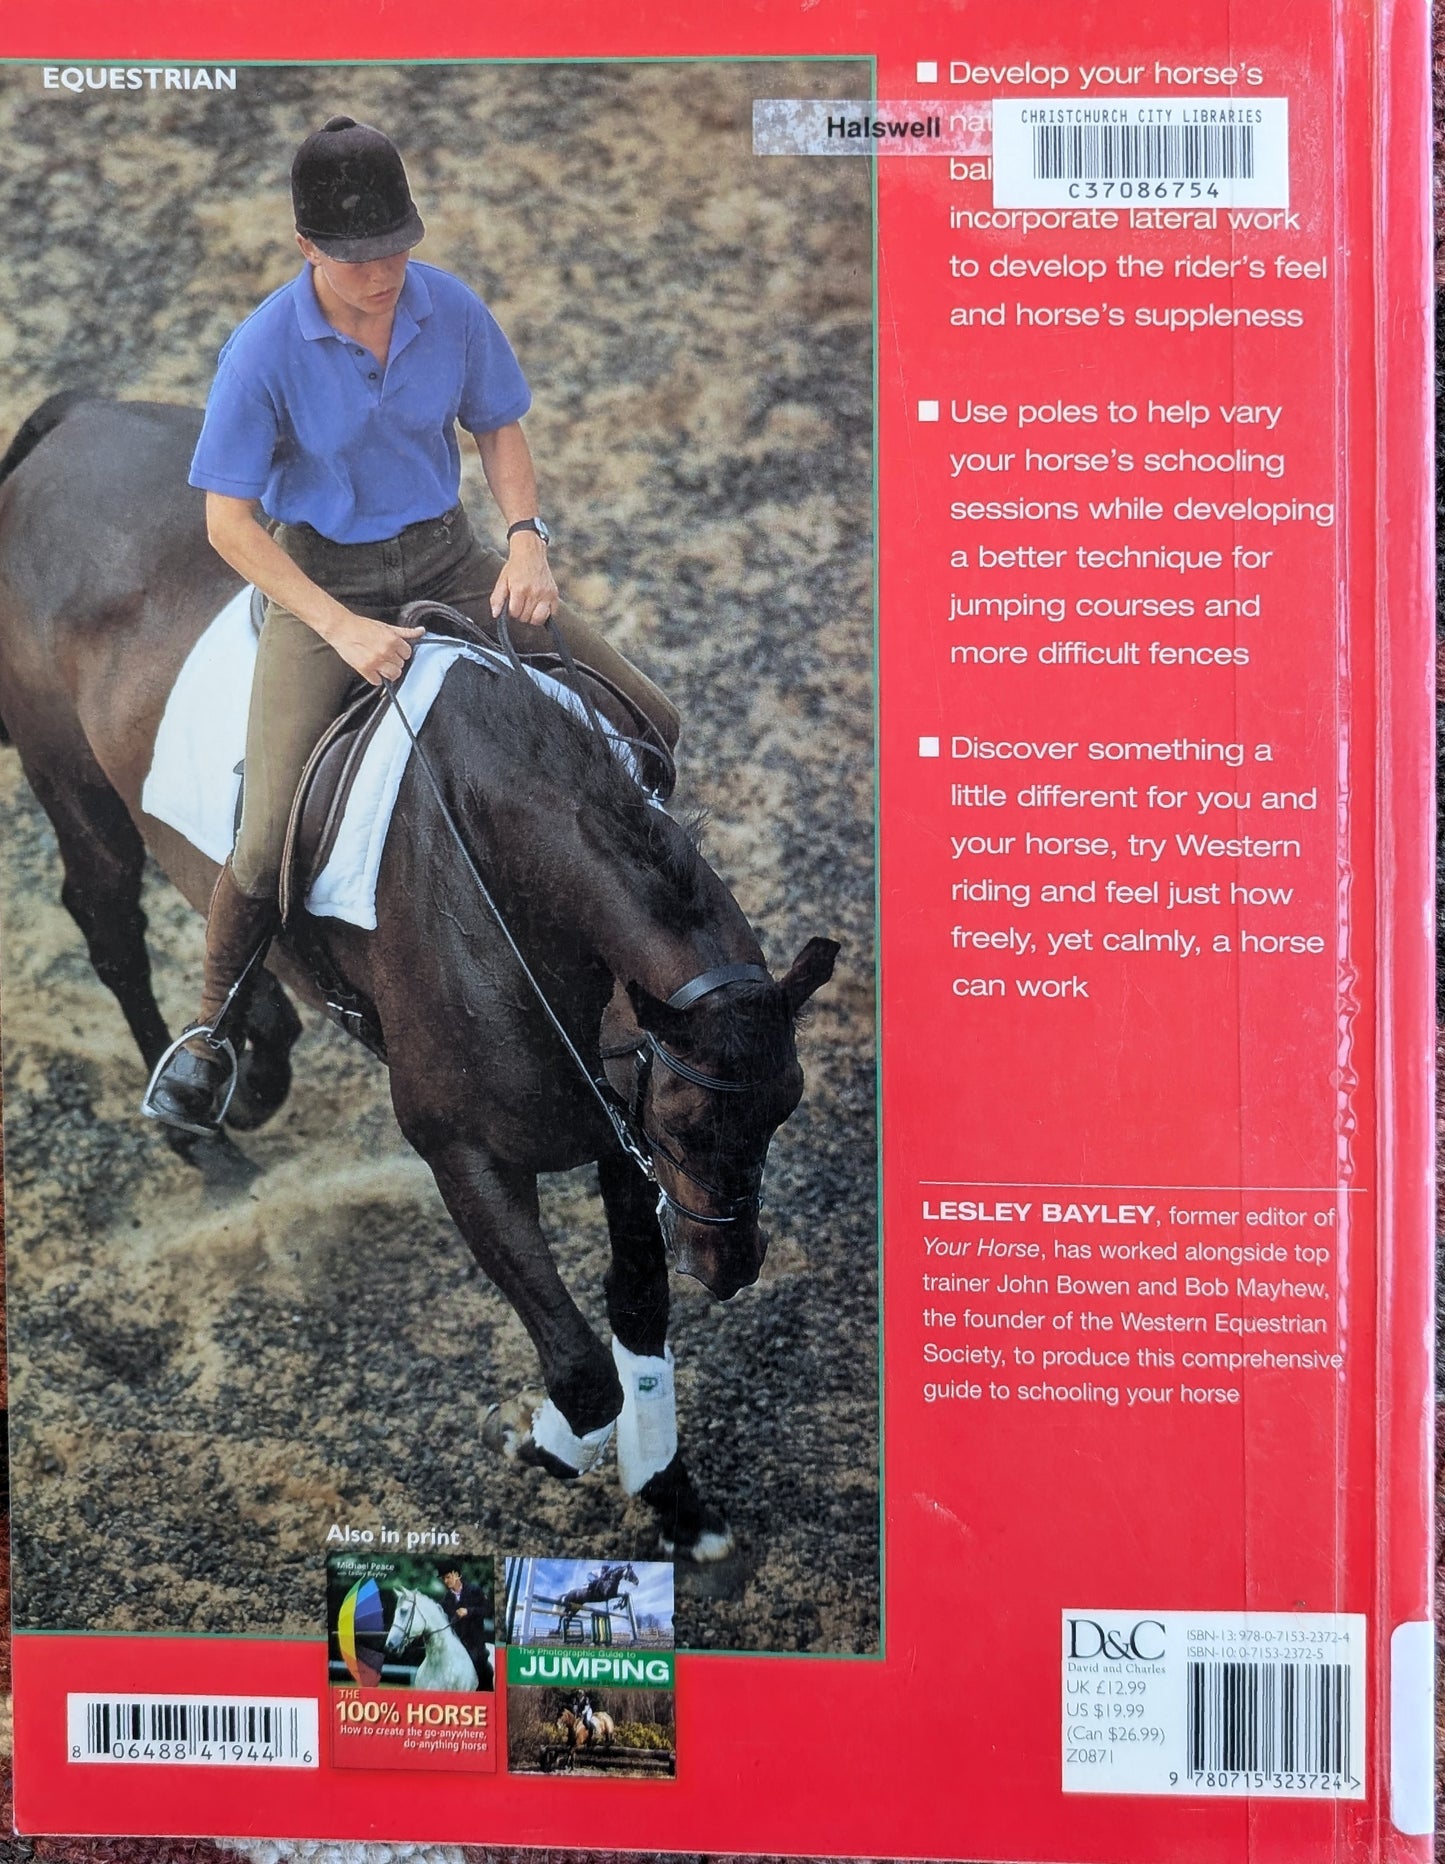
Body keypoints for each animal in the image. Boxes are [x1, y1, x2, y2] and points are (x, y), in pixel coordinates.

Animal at [0, 392, 838, 1562]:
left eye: (786, 1107)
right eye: (685, 1122)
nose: (731, 1267)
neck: (519, 903)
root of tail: (83, 416)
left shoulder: (615, 1134)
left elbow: (633, 1318)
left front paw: (676, 1502)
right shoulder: (466, 1155)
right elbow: (580, 1367)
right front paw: (546, 1442)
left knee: (225, 899)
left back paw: (255, 1053)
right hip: (68, 780)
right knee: (116, 921)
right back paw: (197, 1119)